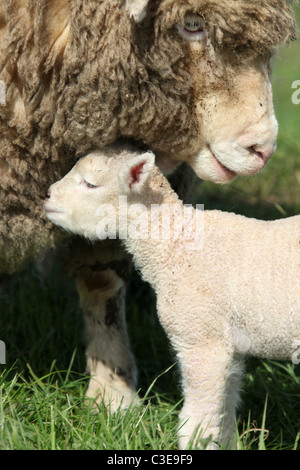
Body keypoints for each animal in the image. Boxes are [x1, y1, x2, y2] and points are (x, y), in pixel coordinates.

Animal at [44, 145, 300, 450]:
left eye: (90, 184)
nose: (47, 196)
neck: (174, 245)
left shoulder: (201, 339)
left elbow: (198, 419)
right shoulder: (228, 345)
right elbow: (225, 412)